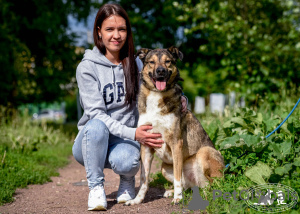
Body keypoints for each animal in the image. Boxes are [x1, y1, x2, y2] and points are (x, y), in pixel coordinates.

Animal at [125, 46, 225, 206]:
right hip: (164, 168)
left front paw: (177, 198)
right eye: (151, 62)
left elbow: (178, 177)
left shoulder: (176, 143)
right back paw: (174, 192)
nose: (160, 71)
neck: (157, 94)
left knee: (213, 185)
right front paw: (137, 200)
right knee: (191, 186)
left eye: (168, 61)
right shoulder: (146, 145)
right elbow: (143, 179)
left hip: (204, 153)